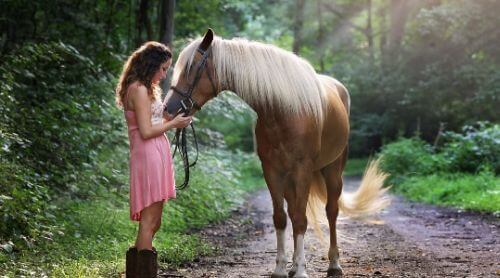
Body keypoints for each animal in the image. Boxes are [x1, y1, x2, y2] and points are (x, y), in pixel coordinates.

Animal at [164, 29, 390, 276]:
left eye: (193, 67)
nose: (168, 109)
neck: (284, 110)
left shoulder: (302, 169)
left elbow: (301, 219)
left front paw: (301, 270)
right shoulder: (271, 170)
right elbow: (281, 218)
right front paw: (282, 268)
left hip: (332, 170)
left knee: (331, 211)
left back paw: (334, 264)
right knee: (293, 211)